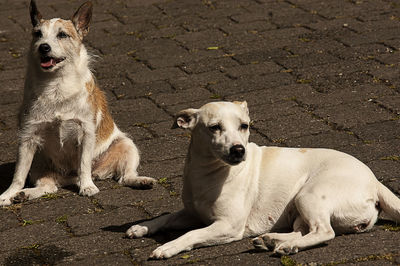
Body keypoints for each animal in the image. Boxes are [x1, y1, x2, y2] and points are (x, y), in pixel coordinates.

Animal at [0, 0, 155, 206]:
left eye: (62, 35)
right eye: (38, 34)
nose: (43, 47)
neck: (56, 85)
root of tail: (68, 178)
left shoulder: (86, 133)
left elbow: (83, 164)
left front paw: (87, 187)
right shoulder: (27, 138)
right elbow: (18, 175)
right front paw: (8, 194)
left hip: (127, 145)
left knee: (124, 176)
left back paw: (140, 181)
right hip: (39, 163)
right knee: (48, 187)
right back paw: (24, 194)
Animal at [126, 101, 400, 258]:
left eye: (244, 126)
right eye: (214, 127)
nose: (238, 150)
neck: (206, 173)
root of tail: (375, 182)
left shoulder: (227, 226)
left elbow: (191, 234)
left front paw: (168, 247)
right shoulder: (191, 213)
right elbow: (165, 218)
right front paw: (141, 227)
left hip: (308, 196)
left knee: (324, 231)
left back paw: (286, 246)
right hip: (299, 209)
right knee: (303, 230)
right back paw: (272, 240)